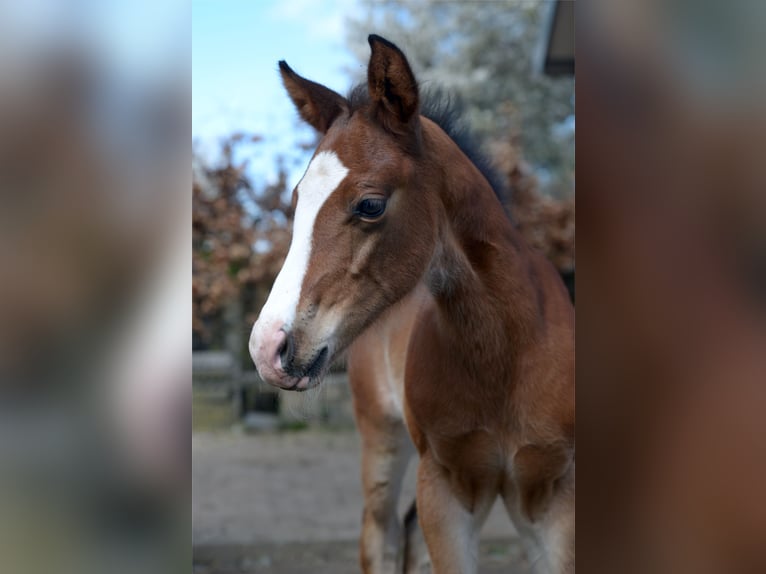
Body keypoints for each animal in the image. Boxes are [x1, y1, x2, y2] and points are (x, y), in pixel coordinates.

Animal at [252, 36, 576, 574]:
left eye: (370, 204)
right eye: (298, 200)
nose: (267, 348)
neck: (508, 355)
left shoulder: (553, 498)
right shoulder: (443, 486)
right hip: (381, 441)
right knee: (377, 533)